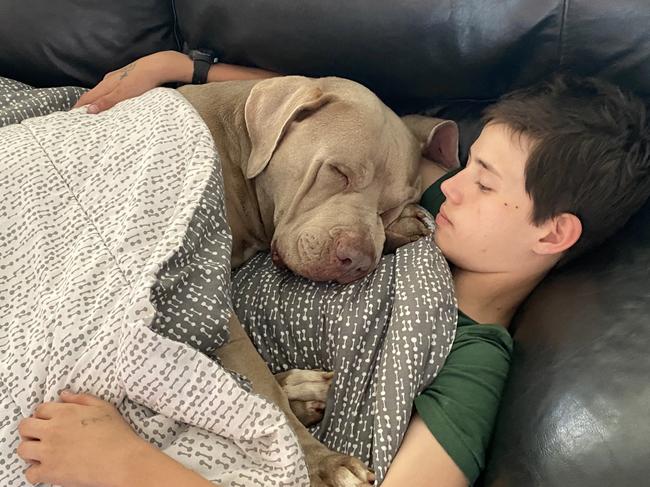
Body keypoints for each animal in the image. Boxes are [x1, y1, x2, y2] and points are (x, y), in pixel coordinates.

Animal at [177, 78, 458, 487]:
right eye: (338, 172)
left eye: (388, 206)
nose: (357, 260)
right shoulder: (204, 299)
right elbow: (263, 392)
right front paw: (322, 462)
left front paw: (400, 228)